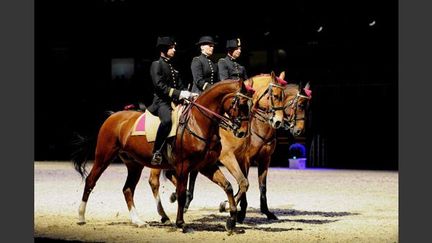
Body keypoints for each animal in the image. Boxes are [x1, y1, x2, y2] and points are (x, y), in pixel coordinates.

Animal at [71, 79, 255, 232]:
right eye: (241, 103)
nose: (242, 132)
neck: (199, 122)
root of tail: (113, 115)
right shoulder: (183, 166)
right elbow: (181, 193)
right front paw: (181, 223)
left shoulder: (206, 166)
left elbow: (228, 186)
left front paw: (231, 219)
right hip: (104, 157)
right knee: (91, 181)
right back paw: (80, 216)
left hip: (134, 164)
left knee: (128, 189)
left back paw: (138, 221)